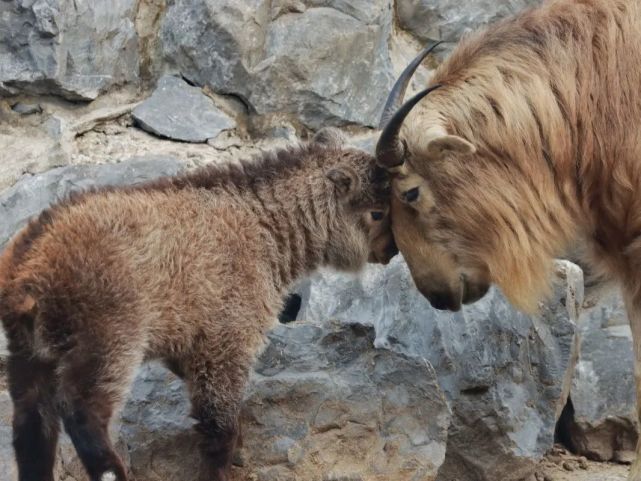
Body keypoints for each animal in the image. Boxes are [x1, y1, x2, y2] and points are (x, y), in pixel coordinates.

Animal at [0, 129, 396, 480]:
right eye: (376, 212)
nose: (391, 250)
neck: (260, 226)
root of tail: (30, 265)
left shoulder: (186, 348)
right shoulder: (225, 340)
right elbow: (218, 428)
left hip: (29, 354)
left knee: (31, 425)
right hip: (106, 341)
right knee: (81, 413)